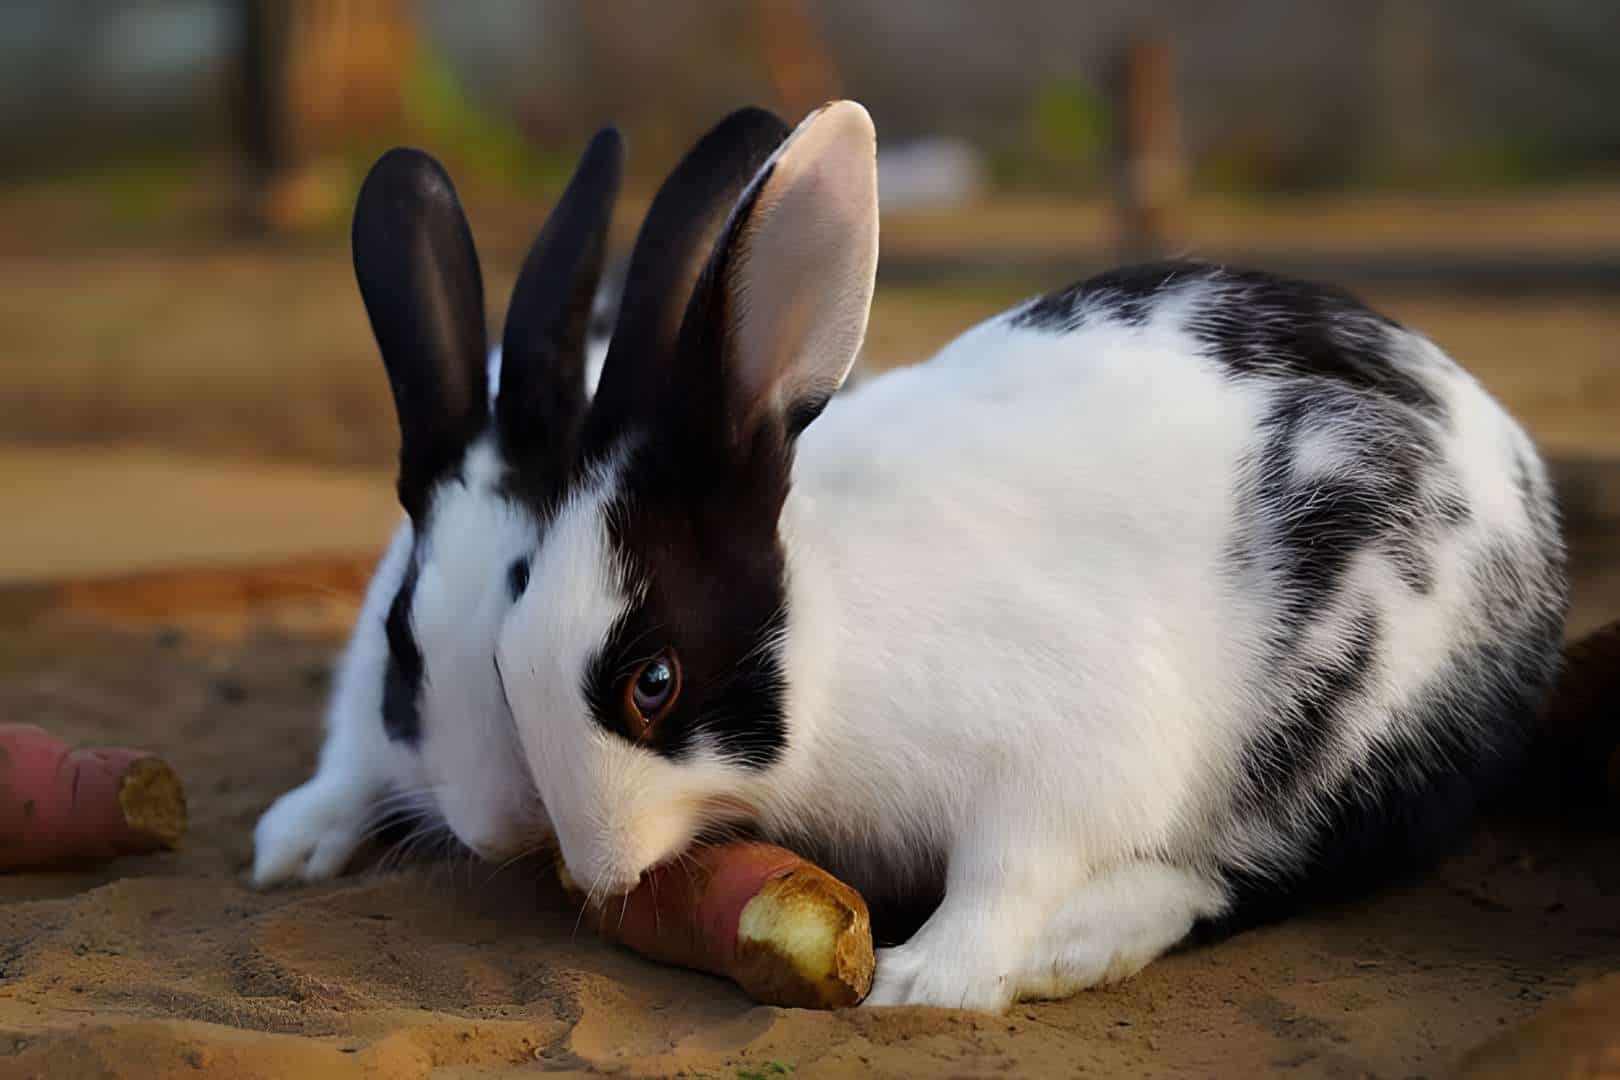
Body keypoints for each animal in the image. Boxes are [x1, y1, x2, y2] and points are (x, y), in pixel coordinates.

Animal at [495, 101, 1568, 1016]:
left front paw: (922, 983)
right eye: (506, 654)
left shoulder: (1058, 756)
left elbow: (1008, 872)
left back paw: (1078, 945)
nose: (595, 866)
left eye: (653, 684)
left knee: (1256, 873)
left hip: (1355, 719)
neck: (837, 631)